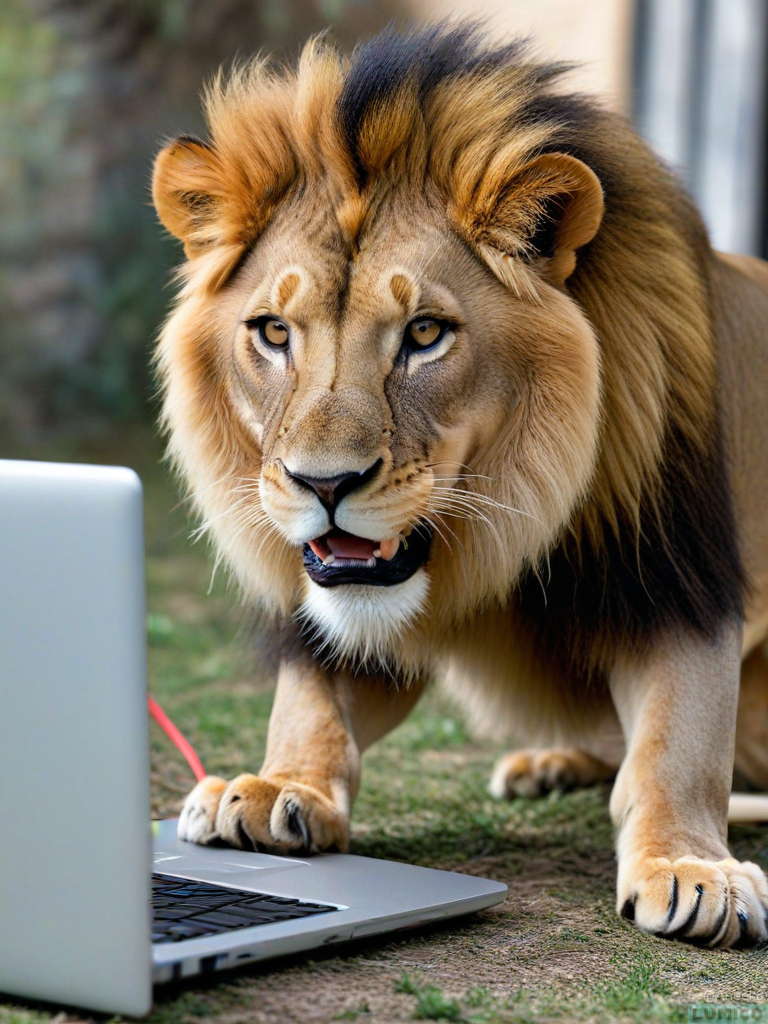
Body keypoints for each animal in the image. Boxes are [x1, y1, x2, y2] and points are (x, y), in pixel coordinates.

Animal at [151, 25, 768, 950]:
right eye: (273, 332)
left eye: (425, 334)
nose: (324, 484)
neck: (507, 519)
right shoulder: (341, 615)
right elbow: (310, 696)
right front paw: (277, 785)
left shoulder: (672, 569)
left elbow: (679, 737)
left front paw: (692, 867)